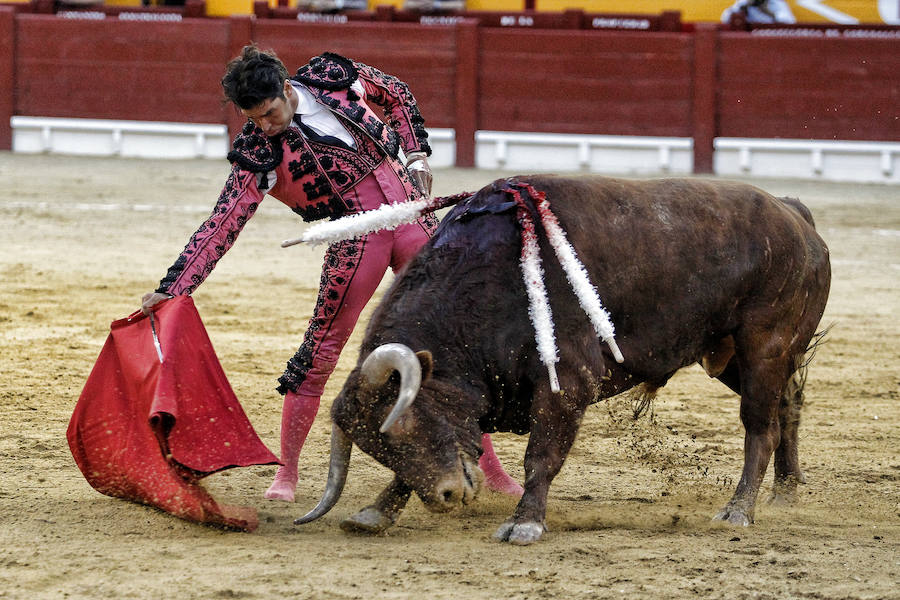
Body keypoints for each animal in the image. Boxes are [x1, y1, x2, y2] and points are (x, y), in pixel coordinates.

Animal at [294, 173, 828, 544]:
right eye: (375, 446)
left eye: (402, 424)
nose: (446, 499)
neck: (488, 281)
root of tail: (794, 215)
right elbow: (457, 453)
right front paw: (376, 512)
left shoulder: (566, 385)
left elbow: (541, 456)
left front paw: (525, 524)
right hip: (732, 356)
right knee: (788, 405)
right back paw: (785, 491)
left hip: (764, 345)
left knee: (760, 425)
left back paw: (739, 510)